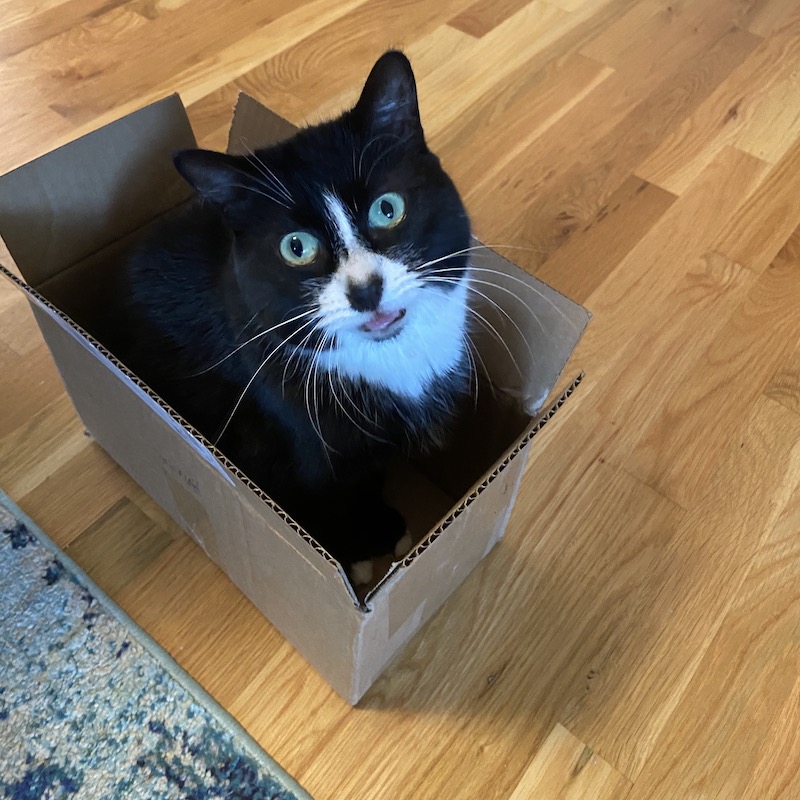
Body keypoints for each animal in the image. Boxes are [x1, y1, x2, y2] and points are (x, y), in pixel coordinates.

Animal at [118, 51, 473, 583]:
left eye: (387, 209)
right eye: (296, 248)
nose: (365, 290)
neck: (389, 357)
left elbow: (369, 474)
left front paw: (381, 527)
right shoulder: (289, 432)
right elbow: (324, 492)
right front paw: (352, 552)